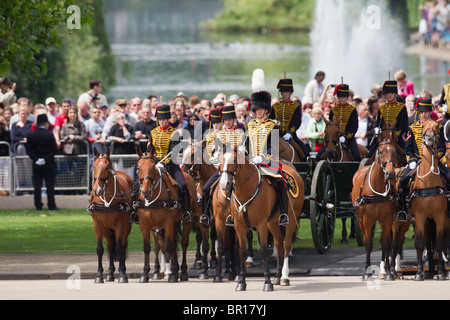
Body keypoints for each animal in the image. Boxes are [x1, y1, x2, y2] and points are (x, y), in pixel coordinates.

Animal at [89, 149, 134, 284]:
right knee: (110, 246)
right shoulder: (97, 224)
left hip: (125, 226)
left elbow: (119, 247)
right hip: (107, 229)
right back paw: (110, 273)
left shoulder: (120, 224)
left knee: (121, 245)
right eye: (94, 166)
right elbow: (100, 249)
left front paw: (123, 274)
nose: (97, 189)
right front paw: (99, 275)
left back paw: (121, 270)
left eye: (106, 167)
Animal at [135, 148, 202, 282]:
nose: (146, 192)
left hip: (187, 220)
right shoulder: (144, 224)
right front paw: (145, 274)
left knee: (183, 243)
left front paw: (174, 274)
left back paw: (183, 272)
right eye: (139, 168)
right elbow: (147, 248)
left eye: (153, 168)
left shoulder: (167, 223)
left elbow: (170, 246)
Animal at [219, 146, 304, 292]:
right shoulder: (239, 225)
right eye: (220, 160)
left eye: (235, 160)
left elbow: (264, 251)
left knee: (286, 244)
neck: (247, 189)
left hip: (291, 219)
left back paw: (284, 277)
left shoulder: (261, 225)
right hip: (273, 223)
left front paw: (267, 282)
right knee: (278, 243)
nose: (225, 184)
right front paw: (241, 282)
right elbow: (242, 252)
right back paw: (277, 276)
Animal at [352, 139, 398, 282]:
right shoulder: (366, 220)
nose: (390, 173)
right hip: (361, 220)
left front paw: (388, 272)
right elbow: (368, 244)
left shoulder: (387, 218)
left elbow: (386, 243)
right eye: (381, 152)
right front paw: (366, 272)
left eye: (394, 151)